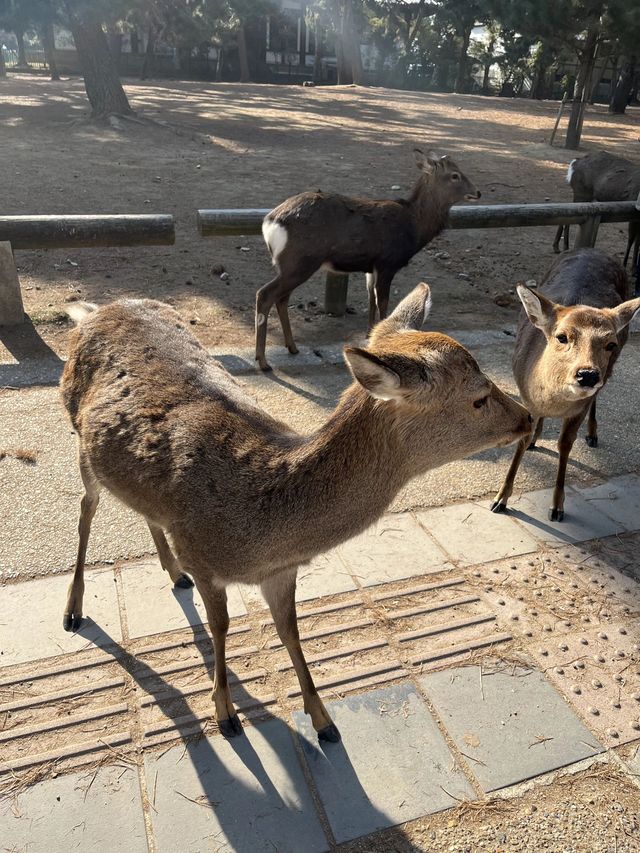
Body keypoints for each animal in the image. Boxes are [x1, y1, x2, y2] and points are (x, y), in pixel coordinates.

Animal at [61, 282, 528, 744]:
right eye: (478, 397)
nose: (526, 417)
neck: (263, 534)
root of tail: (94, 311)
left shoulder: (281, 573)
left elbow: (291, 631)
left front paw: (323, 720)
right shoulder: (205, 561)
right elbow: (221, 627)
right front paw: (226, 713)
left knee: (141, 509)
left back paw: (173, 572)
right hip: (79, 436)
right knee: (86, 508)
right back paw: (73, 609)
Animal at [255, 146, 480, 370]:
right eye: (455, 175)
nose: (477, 192)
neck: (414, 228)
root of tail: (269, 222)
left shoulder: (371, 267)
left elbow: (371, 298)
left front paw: (369, 336)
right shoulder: (388, 262)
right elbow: (383, 303)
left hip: (293, 265)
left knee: (282, 298)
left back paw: (292, 347)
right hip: (300, 261)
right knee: (265, 294)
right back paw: (263, 361)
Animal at [492, 248, 636, 520]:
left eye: (610, 343)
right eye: (561, 337)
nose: (588, 375)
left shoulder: (578, 408)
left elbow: (565, 445)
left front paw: (557, 507)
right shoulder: (526, 399)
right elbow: (522, 440)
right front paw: (500, 499)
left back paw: (592, 434)